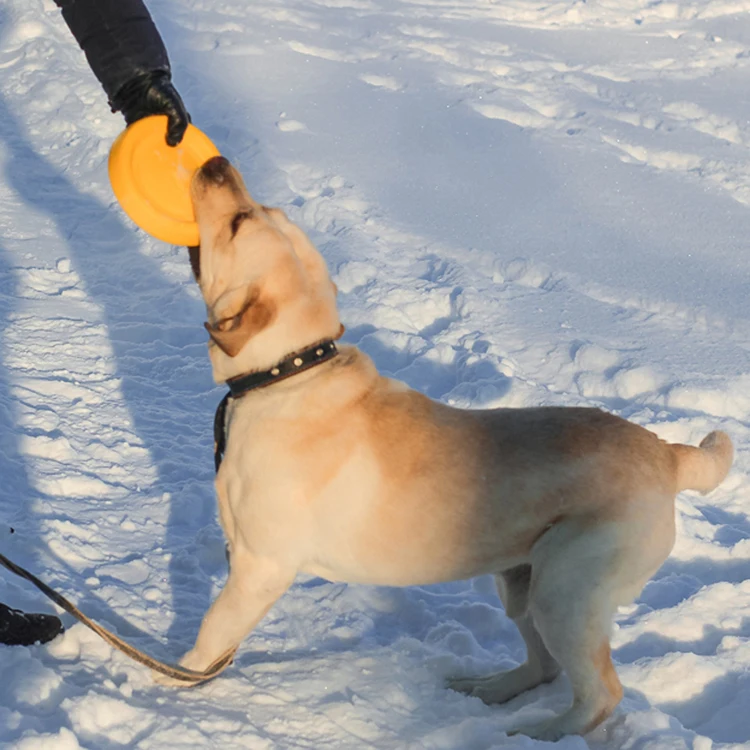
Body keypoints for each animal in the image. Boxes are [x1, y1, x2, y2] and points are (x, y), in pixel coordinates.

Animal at [164, 156, 736, 744]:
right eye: (262, 209)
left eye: (239, 223)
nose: (216, 163)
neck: (289, 370)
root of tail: (667, 453)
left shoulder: (261, 567)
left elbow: (210, 634)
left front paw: (165, 682)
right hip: (520, 582)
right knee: (543, 667)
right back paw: (488, 690)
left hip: (565, 592)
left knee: (600, 693)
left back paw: (538, 733)